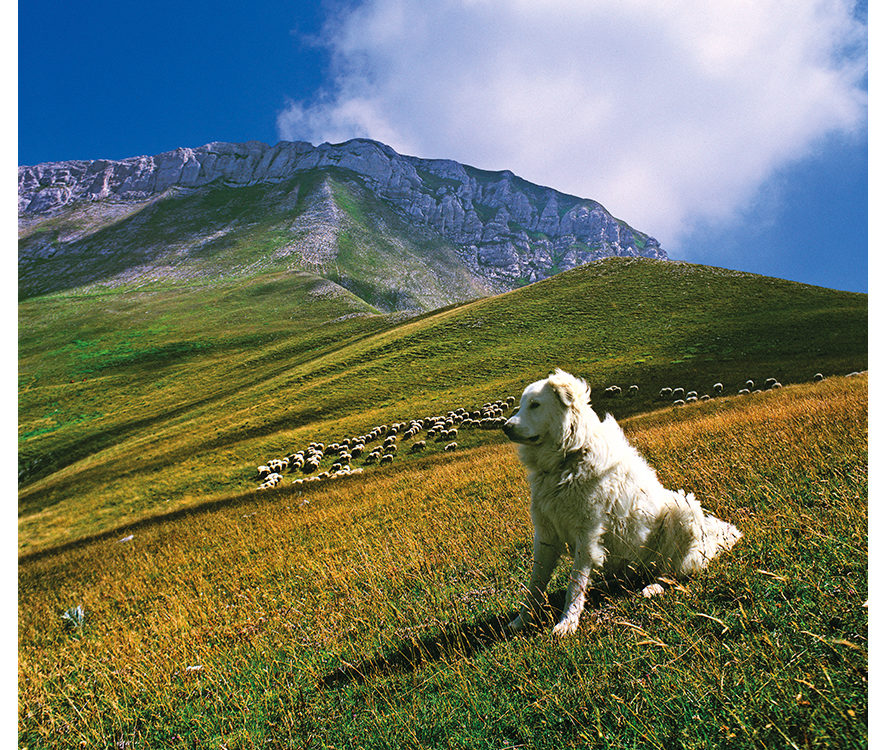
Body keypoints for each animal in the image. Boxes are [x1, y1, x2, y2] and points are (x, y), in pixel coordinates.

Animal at [500, 368, 744, 636]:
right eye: (521, 405)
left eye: (535, 405)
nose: (505, 427)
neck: (567, 460)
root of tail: (706, 541)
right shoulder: (545, 534)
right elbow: (535, 584)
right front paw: (521, 621)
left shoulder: (587, 534)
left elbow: (575, 584)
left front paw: (567, 623)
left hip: (681, 509)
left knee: (671, 572)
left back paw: (652, 588)